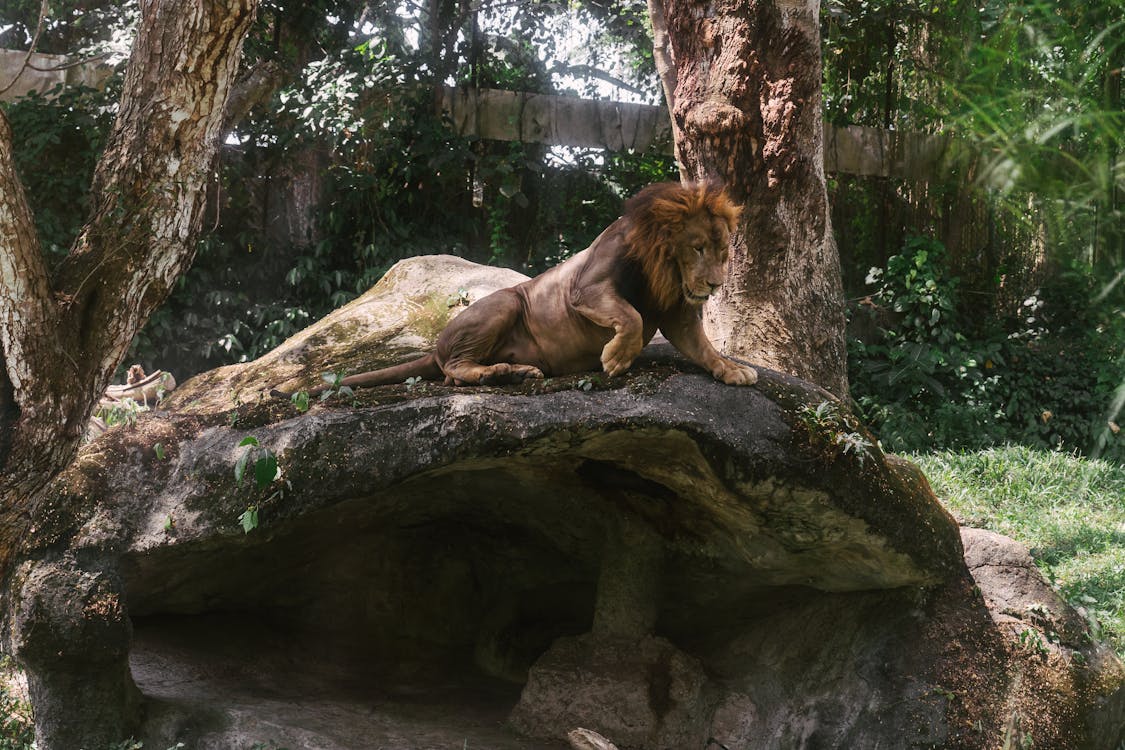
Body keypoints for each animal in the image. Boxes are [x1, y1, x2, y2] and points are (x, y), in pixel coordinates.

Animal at [279, 182, 756, 395]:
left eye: (722, 252)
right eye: (697, 247)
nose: (714, 283)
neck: (664, 269)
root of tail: (435, 346)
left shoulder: (676, 311)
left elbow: (702, 346)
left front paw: (732, 369)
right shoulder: (585, 288)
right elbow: (631, 316)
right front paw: (617, 358)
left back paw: (516, 371)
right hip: (506, 302)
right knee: (455, 370)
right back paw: (500, 372)